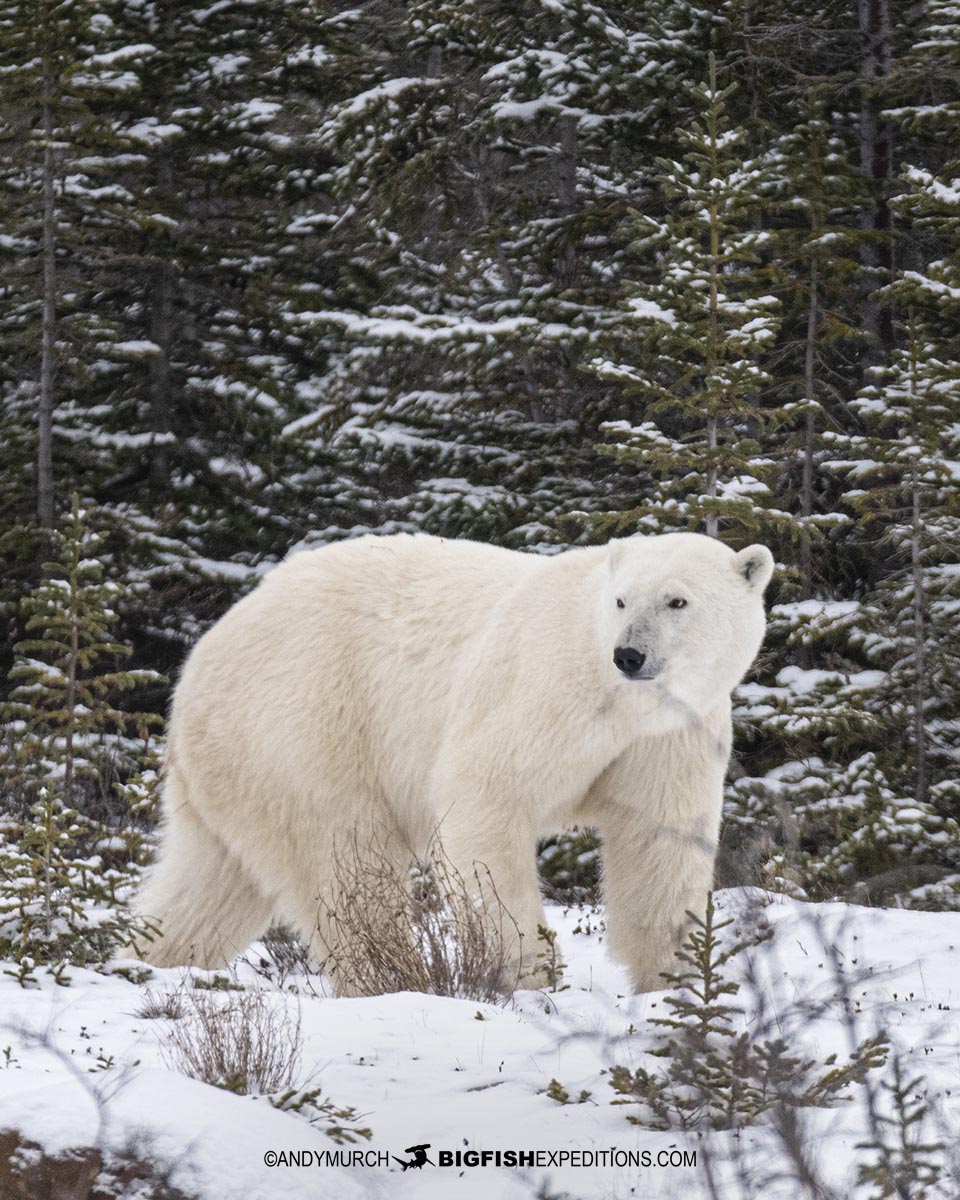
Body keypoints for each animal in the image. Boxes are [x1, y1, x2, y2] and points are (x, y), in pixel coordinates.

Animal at [136, 535, 772, 993]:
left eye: (677, 600)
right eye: (621, 600)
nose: (629, 654)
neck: (622, 701)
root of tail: (198, 663)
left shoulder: (670, 733)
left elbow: (660, 839)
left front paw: (677, 976)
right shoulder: (541, 692)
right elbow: (486, 798)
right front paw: (527, 969)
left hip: (235, 768)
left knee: (210, 885)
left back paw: (149, 961)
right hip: (306, 729)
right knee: (347, 865)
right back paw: (396, 977)